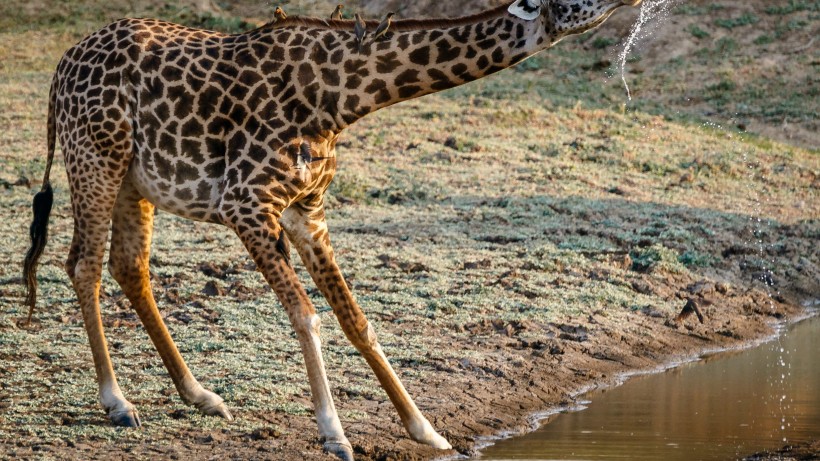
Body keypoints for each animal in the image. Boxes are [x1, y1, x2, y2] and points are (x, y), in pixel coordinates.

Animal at [20, 0, 640, 456]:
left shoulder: (307, 209)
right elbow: (307, 314)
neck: (340, 95)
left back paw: (201, 396)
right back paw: (118, 403)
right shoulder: (245, 204)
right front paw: (335, 434)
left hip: (134, 180)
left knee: (129, 266)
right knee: (83, 265)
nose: (631, 1)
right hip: (96, 159)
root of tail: (59, 71)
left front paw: (426, 429)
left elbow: (356, 319)